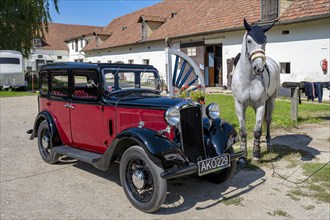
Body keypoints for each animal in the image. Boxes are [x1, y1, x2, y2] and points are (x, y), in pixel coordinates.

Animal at [231, 19, 280, 162]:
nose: (259, 68)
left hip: (271, 99)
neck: (248, 79)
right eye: (249, 40)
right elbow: (243, 131)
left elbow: (257, 131)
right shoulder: (240, 105)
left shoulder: (260, 105)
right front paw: (243, 157)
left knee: (268, 120)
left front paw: (256, 155)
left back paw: (268, 141)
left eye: (265, 41)